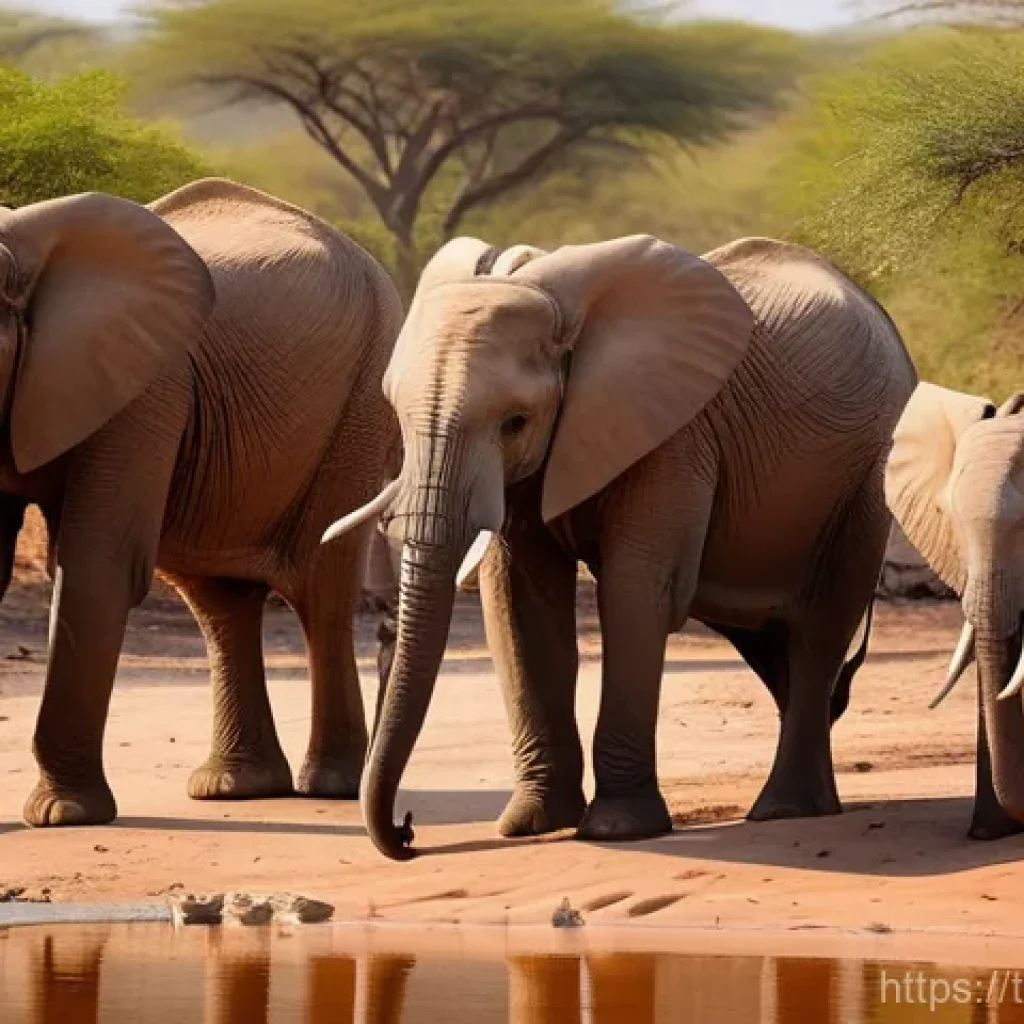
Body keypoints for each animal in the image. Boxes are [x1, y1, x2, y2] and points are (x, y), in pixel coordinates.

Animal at [0, 177, 401, 827]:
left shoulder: (143, 385)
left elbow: (97, 564)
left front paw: (64, 814)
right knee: (220, 601)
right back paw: (237, 787)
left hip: (363, 401)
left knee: (321, 588)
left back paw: (331, 785)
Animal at [325, 233, 917, 860]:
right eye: (396, 413)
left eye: (515, 422)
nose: (408, 831)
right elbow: (518, 598)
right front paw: (533, 825)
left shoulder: (674, 435)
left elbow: (637, 587)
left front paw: (617, 829)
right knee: (771, 641)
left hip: (868, 477)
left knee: (818, 629)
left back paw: (785, 810)